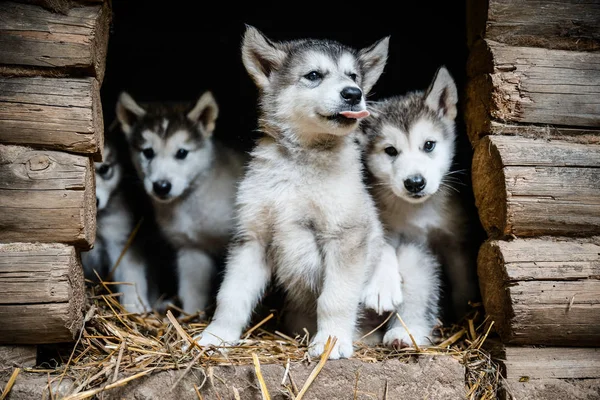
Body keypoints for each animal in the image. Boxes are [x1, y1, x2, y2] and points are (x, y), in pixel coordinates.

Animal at [115, 91, 246, 316]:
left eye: (182, 153)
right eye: (148, 152)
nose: (161, 186)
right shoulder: (191, 248)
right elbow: (192, 291)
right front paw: (189, 316)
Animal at [192, 26, 390, 360]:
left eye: (353, 76)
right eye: (314, 75)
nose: (354, 93)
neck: (301, 162)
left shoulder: (345, 236)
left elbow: (335, 298)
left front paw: (331, 341)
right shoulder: (252, 238)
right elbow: (231, 296)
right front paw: (216, 336)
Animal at [360, 65, 478, 344]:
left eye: (429, 145)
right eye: (390, 151)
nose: (415, 183)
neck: (418, 212)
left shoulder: (456, 241)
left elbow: (463, 280)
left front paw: (466, 313)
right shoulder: (386, 226)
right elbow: (384, 250)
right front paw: (381, 289)